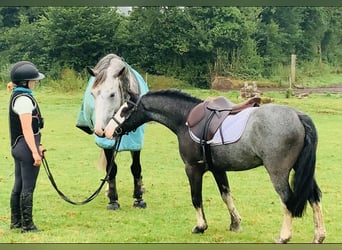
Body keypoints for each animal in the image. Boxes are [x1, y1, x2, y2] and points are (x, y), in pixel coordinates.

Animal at [91, 89, 326, 243]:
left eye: (124, 111)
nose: (107, 131)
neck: (185, 119)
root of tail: (298, 115)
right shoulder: (218, 169)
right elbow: (226, 195)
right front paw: (235, 224)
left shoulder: (192, 168)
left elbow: (196, 198)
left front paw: (200, 226)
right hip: (301, 170)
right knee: (314, 196)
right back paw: (319, 236)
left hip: (278, 172)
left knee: (287, 200)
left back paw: (284, 236)